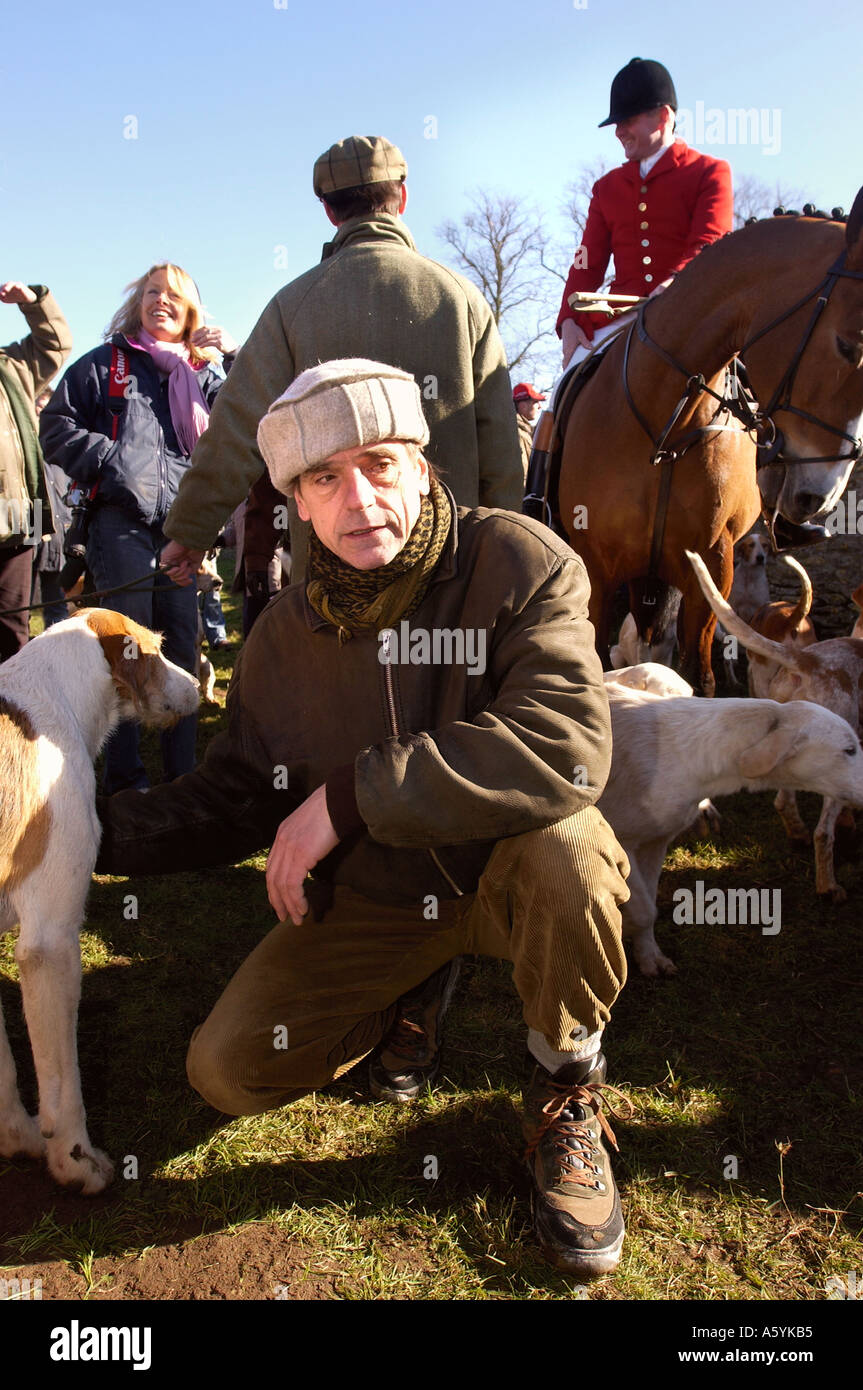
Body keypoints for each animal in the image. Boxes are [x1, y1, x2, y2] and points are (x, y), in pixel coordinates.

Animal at [555, 193, 861, 692]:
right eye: (848, 346)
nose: (822, 494)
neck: (666, 429)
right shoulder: (594, 568)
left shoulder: (713, 566)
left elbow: (700, 678)